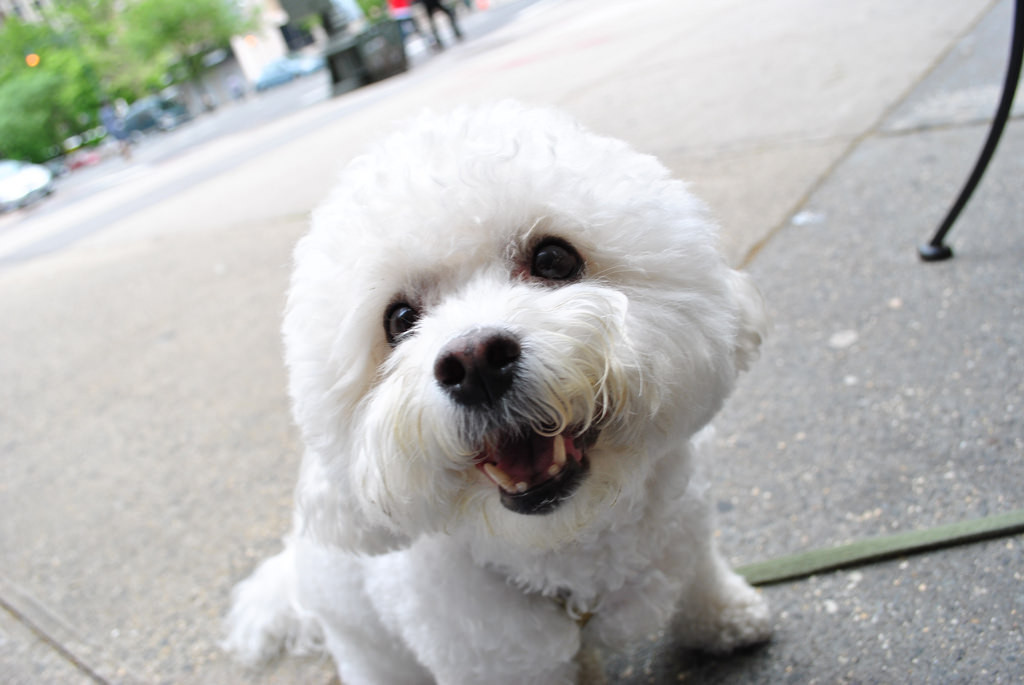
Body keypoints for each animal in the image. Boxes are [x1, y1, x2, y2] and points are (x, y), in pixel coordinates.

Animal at [222, 98, 770, 679]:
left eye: (553, 258)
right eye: (399, 320)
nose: (475, 363)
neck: (575, 550)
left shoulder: (685, 528)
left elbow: (699, 577)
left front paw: (725, 616)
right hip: (366, 646)